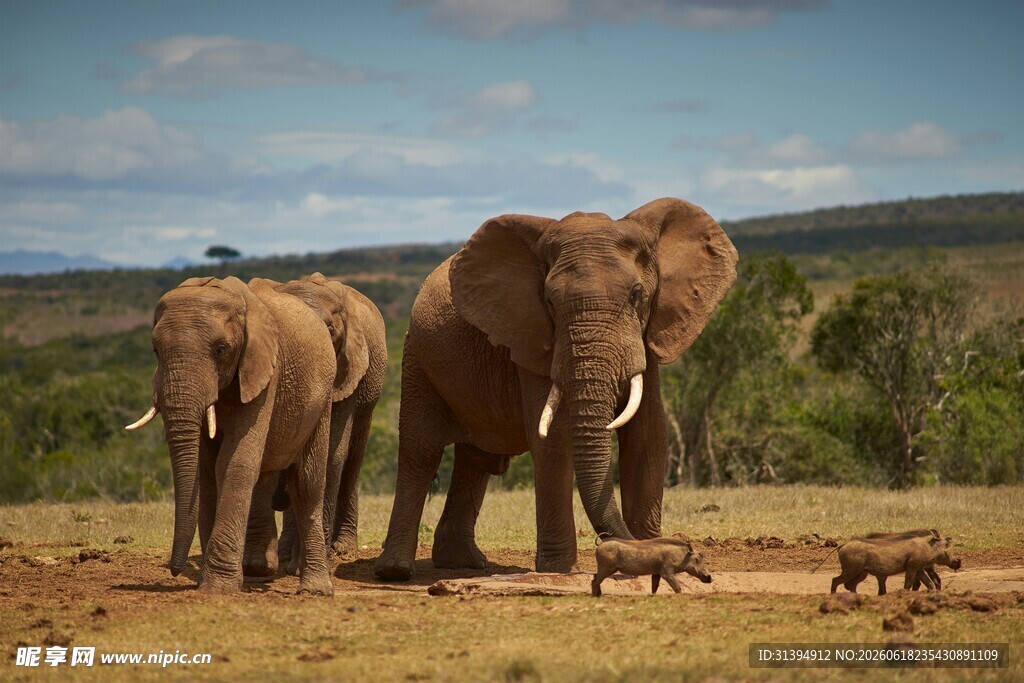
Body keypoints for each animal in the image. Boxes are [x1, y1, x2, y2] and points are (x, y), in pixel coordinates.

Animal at [125, 276, 336, 595]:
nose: (175, 570)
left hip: (323, 398)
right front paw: (215, 581)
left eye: (221, 350)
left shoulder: (264, 375)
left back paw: (314, 590)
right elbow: (206, 471)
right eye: (155, 352)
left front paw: (216, 588)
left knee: (307, 484)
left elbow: (232, 462)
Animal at [241, 273, 387, 577]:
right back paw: (285, 552)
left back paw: (341, 547)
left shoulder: (347, 369)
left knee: (354, 457)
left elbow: (332, 452)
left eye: (330, 330)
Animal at [375, 198, 738, 580]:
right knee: (421, 453)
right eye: (549, 301)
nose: (611, 544)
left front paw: (649, 557)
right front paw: (561, 569)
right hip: (416, 357)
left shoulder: (648, 335)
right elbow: (555, 438)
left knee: (477, 460)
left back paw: (464, 563)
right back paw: (396, 571)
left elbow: (648, 435)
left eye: (636, 295)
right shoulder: (532, 337)